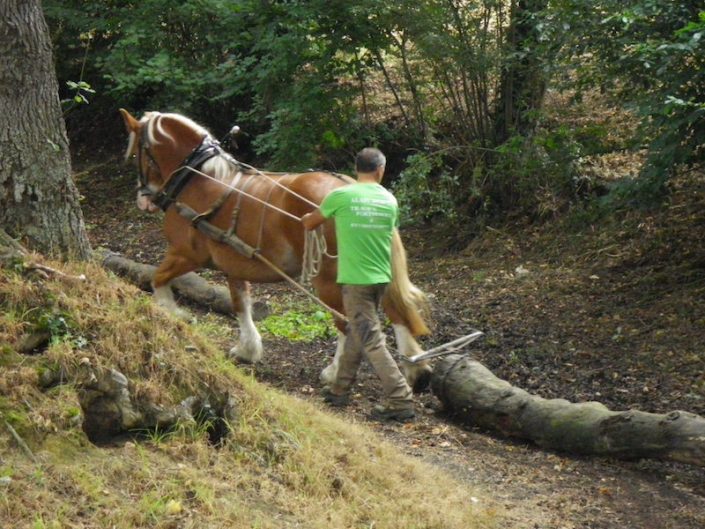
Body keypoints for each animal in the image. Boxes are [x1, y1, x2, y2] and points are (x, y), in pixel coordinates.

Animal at [118, 108, 432, 388]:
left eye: (135, 155)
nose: (142, 200)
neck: (199, 178)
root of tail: (358, 189)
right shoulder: (234, 263)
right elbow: (240, 304)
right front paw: (248, 348)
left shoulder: (186, 253)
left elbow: (158, 278)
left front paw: (174, 314)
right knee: (395, 312)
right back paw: (414, 367)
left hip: (328, 279)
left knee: (347, 324)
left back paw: (334, 372)